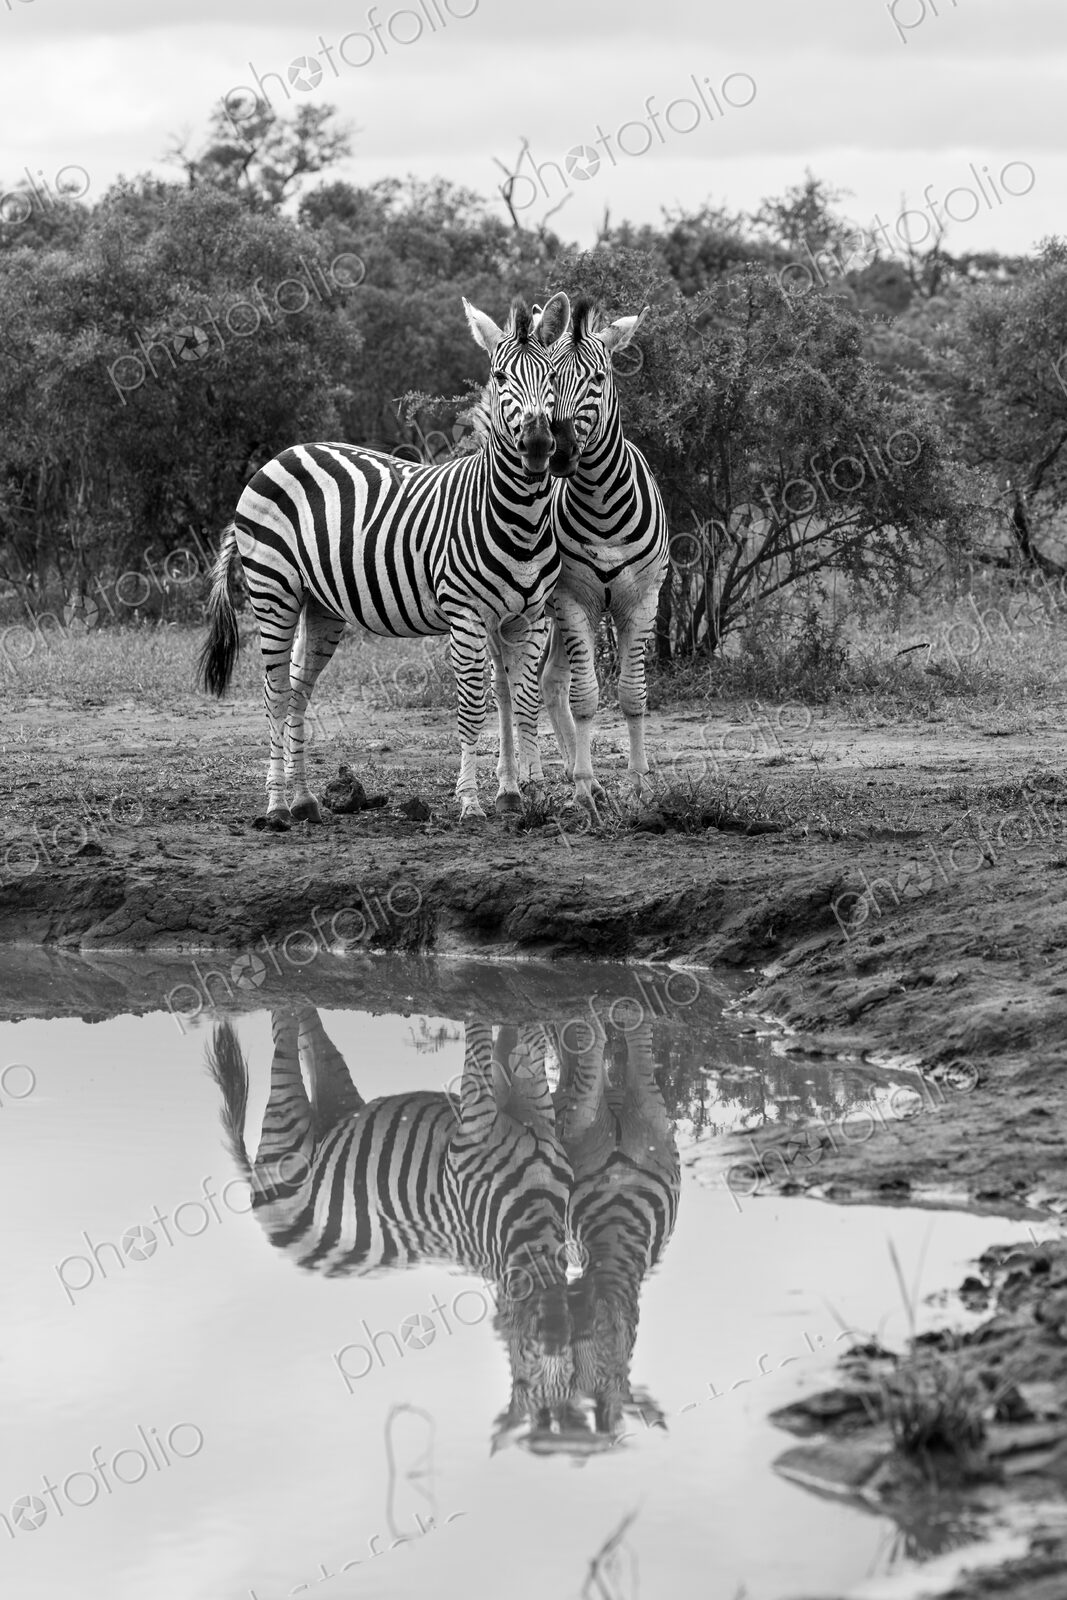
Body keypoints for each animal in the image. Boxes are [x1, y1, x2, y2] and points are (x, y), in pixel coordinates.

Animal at [197, 293, 571, 824]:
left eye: (553, 376)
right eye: (500, 378)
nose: (539, 446)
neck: (519, 517)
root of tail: (282, 454)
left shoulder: (530, 617)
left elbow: (523, 701)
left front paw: (528, 796)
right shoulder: (465, 616)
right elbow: (472, 707)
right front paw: (470, 802)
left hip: (320, 605)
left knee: (297, 691)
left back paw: (305, 799)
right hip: (274, 592)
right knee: (275, 693)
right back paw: (276, 807)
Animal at [206, 1005, 576, 1436]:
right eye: (523, 1378)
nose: (554, 1341)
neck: (532, 1221)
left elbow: (524, 1044)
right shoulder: (474, 1124)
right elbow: (481, 1041)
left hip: (333, 1110)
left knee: (311, 1042)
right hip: (286, 1135)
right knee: (283, 1035)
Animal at [516, 297, 669, 817]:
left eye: (599, 378)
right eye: (549, 377)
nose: (559, 452)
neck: (602, 505)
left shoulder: (642, 600)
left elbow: (632, 694)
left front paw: (639, 785)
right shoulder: (573, 600)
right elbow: (587, 696)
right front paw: (584, 788)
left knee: (549, 681)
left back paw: (569, 771)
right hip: (539, 612)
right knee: (533, 686)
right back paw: (541, 775)